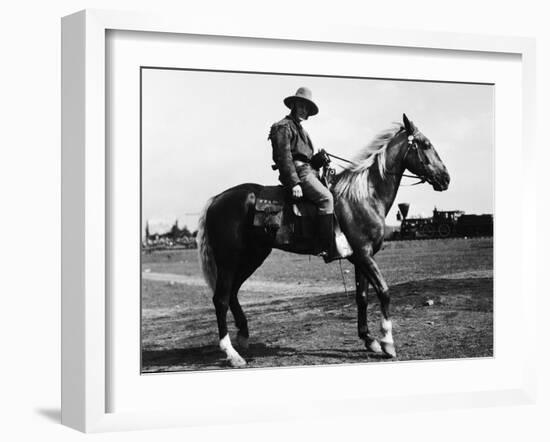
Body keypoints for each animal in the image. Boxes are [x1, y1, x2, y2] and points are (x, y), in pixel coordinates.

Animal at [196, 113, 450, 366]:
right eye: (425, 144)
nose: (446, 178)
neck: (364, 197)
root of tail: (217, 199)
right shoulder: (364, 255)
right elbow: (384, 292)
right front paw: (387, 342)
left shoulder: (359, 259)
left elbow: (362, 297)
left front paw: (369, 340)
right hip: (229, 261)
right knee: (221, 299)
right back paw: (232, 353)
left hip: (252, 257)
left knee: (232, 293)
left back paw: (243, 336)